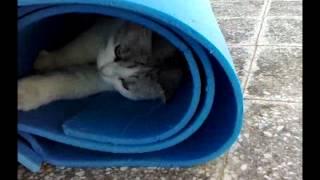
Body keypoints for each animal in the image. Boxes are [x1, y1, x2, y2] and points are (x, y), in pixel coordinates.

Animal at [17, 16, 188, 111]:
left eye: (125, 84)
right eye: (118, 51)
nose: (102, 70)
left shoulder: (106, 82)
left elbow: (72, 81)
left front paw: (24, 94)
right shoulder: (107, 27)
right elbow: (77, 48)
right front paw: (45, 61)